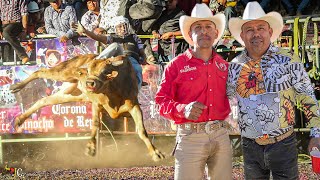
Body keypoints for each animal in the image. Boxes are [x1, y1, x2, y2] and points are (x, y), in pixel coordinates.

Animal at [10, 53, 165, 162]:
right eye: (88, 70)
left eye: (104, 72)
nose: (89, 83)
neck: (113, 90)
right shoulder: (97, 103)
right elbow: (95, 124)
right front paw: (91, 148)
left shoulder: (134, 106)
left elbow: (142, 131)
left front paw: (156, 153)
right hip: (64, 72)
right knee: (40, 72)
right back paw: (16, 86)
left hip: (72, 94)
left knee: (44, 100)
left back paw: (19, 120)